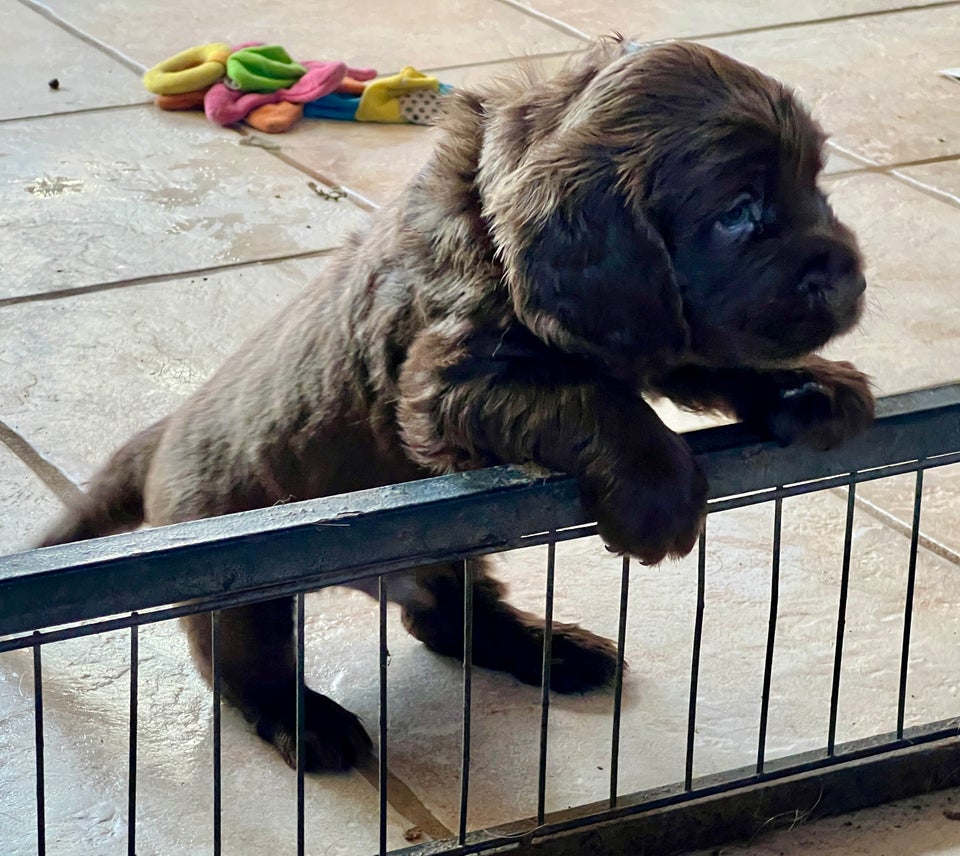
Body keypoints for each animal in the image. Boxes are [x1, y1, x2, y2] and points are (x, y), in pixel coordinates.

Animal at [41, 38, 872, 768]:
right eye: (737, 212)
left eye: (816, 183)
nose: (852, 277)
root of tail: (162, 433)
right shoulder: (443, 390)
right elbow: (592, 398)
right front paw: (658, 493)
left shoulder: (651, 324)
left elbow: (709, 355)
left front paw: (814, 386)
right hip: (240, 580)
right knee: (244, 667)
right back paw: (312, 725)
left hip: (452, 549)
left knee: (448, 619)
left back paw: (555, 650)